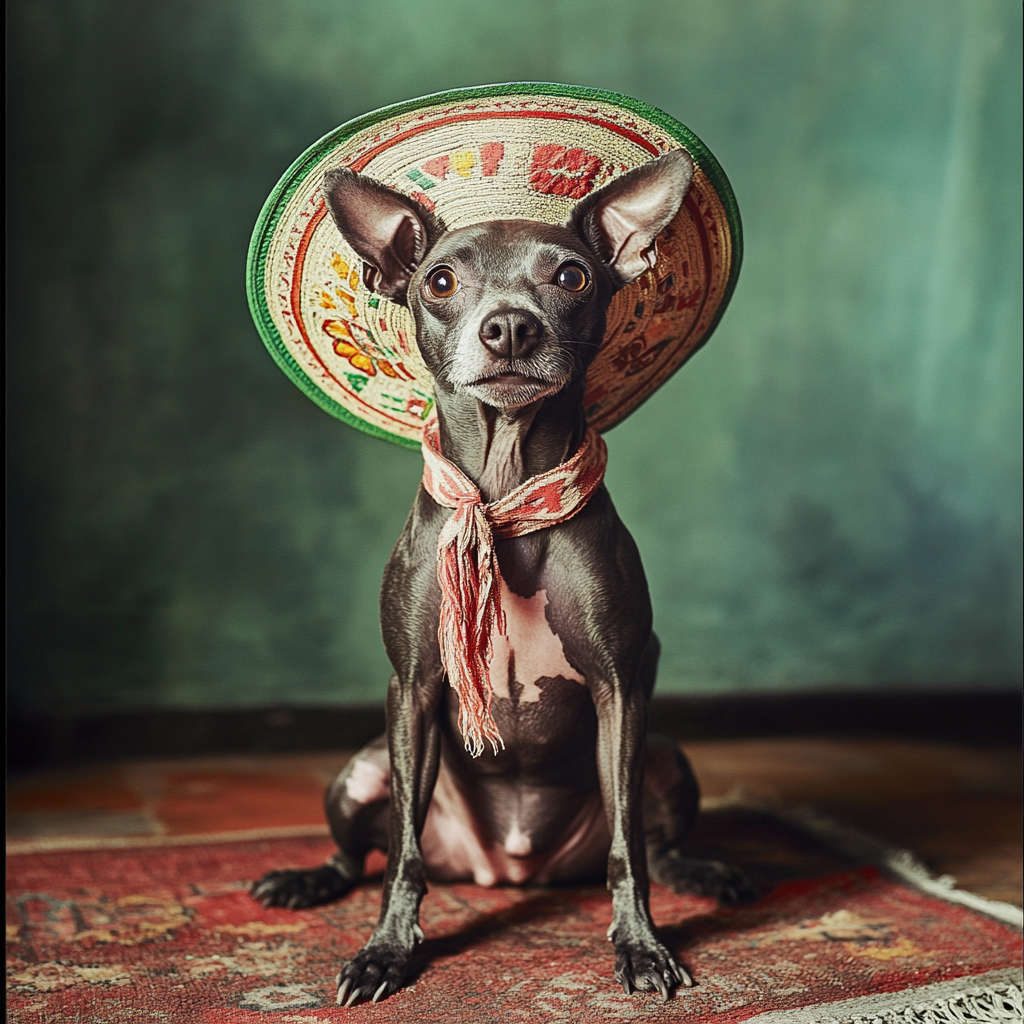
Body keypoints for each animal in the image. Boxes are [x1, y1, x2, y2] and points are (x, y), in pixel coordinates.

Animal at [251, 148, 757, 1003]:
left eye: (572, 276)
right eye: (440, 280)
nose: (511, 326)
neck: (504, 497)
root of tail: (507, 871)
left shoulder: (621, 689)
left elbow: (629, 850)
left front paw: (643, 946)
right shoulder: (415, 688)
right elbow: (403, 856)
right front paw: (386, 951)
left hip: (665, 755)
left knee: (658, 847)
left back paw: (706, 871)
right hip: (360, 772)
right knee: (360, 854)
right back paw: (303, 880)